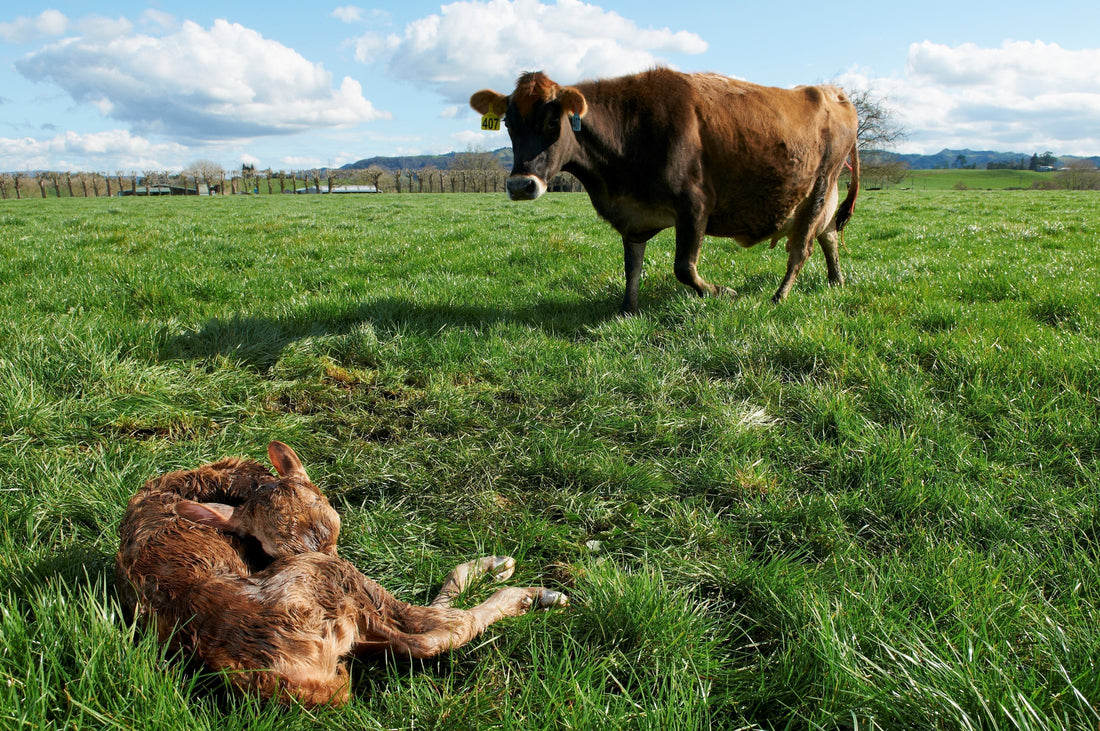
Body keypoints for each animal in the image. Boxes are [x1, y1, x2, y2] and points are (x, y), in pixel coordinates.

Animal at [470, 68, 860, 313]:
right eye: (508, 123)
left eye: (553, 121)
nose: (521, 185)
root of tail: (832, 92)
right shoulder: (632, 216)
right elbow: (632, 267)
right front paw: (627, 309)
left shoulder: (695, 204)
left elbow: (683, 267)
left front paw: (723, 293)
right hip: (819, 198)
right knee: (829, 236)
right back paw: (836, 280)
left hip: (819, 186)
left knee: (802, 249)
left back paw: (779, 297)